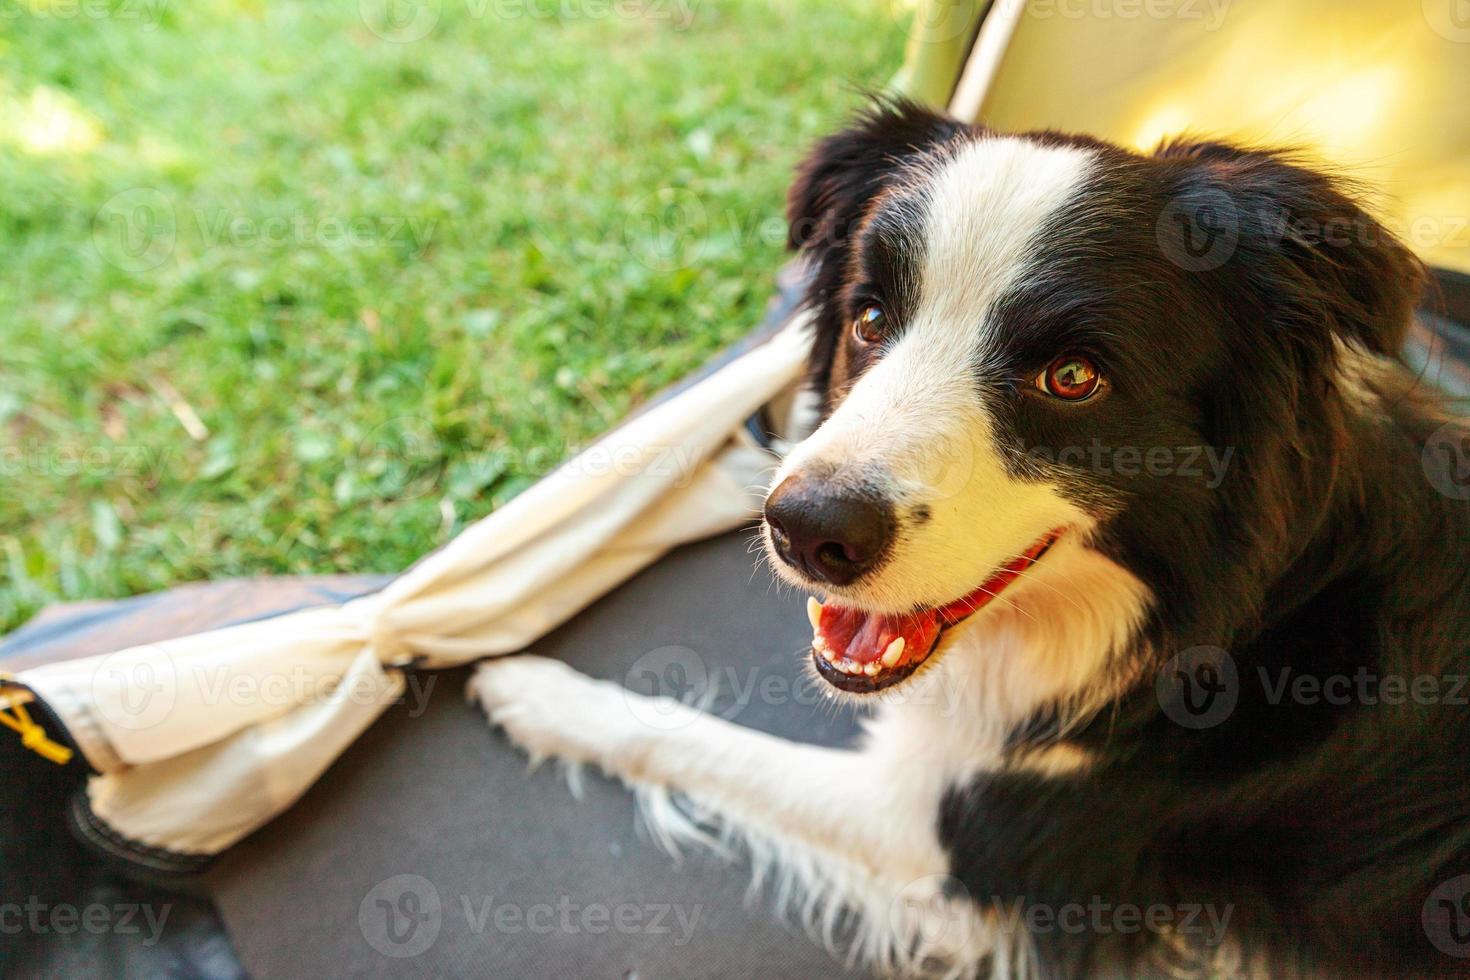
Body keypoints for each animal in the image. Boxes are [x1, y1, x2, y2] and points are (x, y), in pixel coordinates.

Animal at [473, 101, 1470, 980]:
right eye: (871, 319)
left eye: (1072, 377)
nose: (804, 530)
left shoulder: (952, 832)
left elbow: (705, 742)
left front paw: (538, 694)